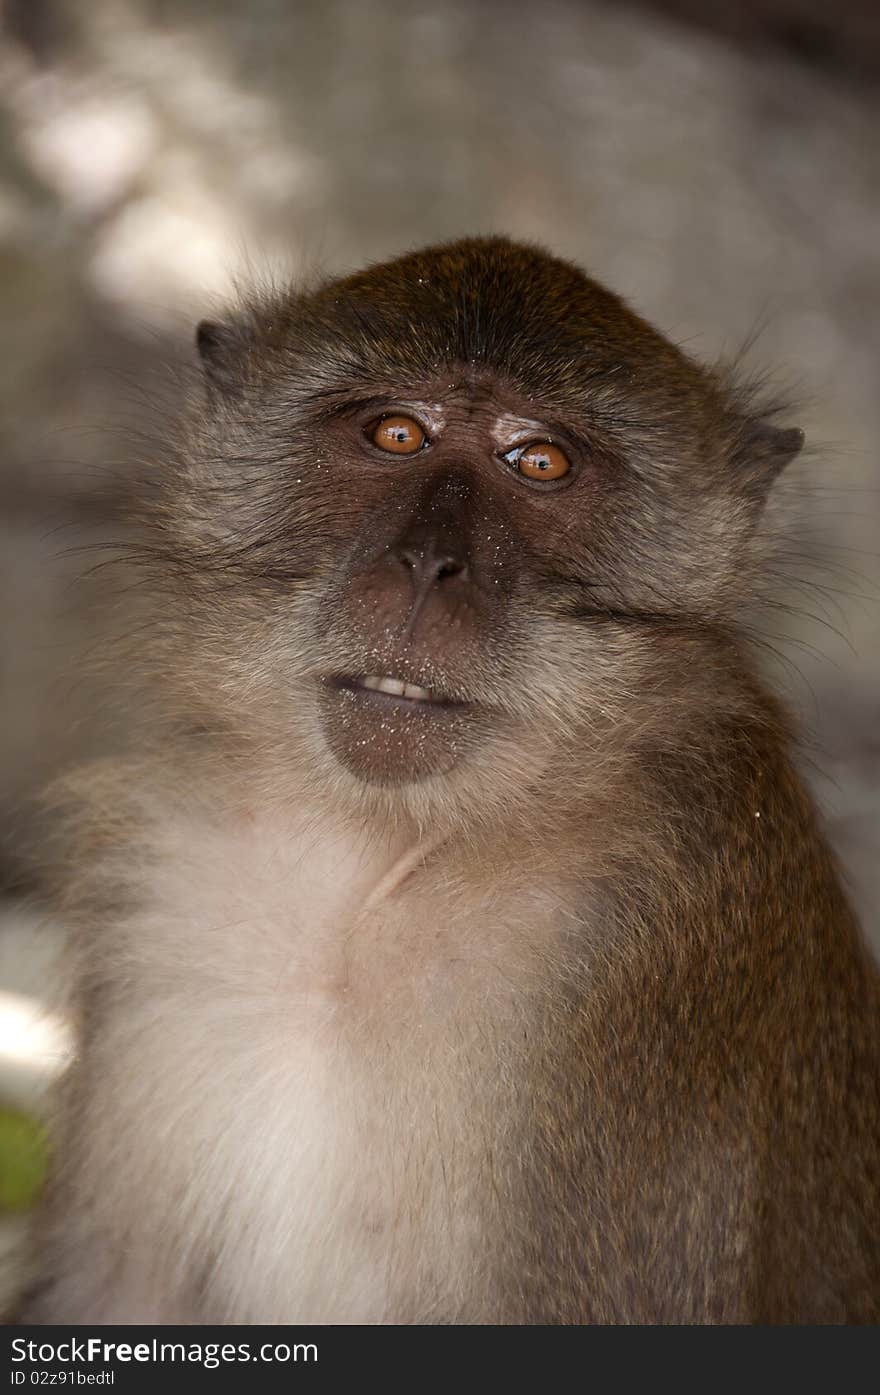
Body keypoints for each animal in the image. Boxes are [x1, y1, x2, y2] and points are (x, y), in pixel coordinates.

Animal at [20, 237, 880, 1316]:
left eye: (540, 462)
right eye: (396, 433)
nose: (427, 564)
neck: (365, 887)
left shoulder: (658, 959)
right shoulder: (156, 889)